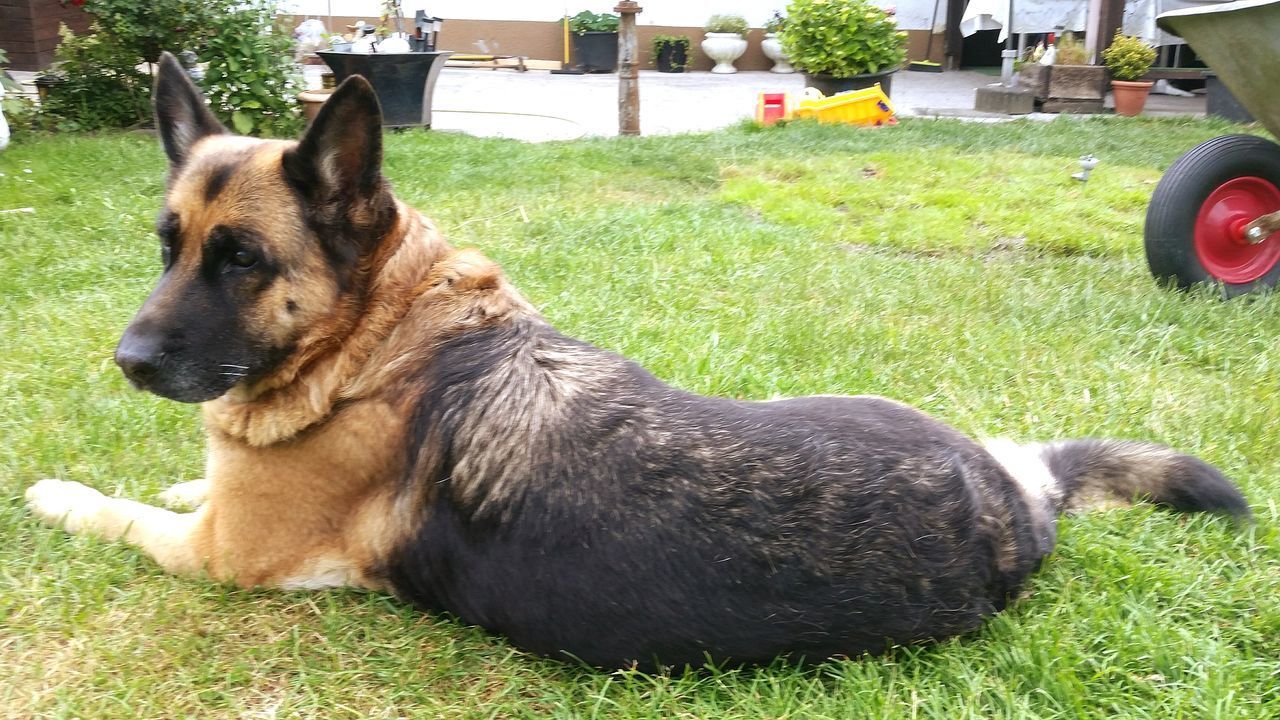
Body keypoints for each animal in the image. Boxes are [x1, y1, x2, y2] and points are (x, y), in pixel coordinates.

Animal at [27, 53, 1249, 671]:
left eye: (240, 260)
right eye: (169, 247)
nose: (126, 359)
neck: (387, 335)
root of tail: (1014, 493)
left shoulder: (219, 556)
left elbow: (116, 511)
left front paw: (58, 492)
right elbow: (187, 480)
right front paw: (178, 468)